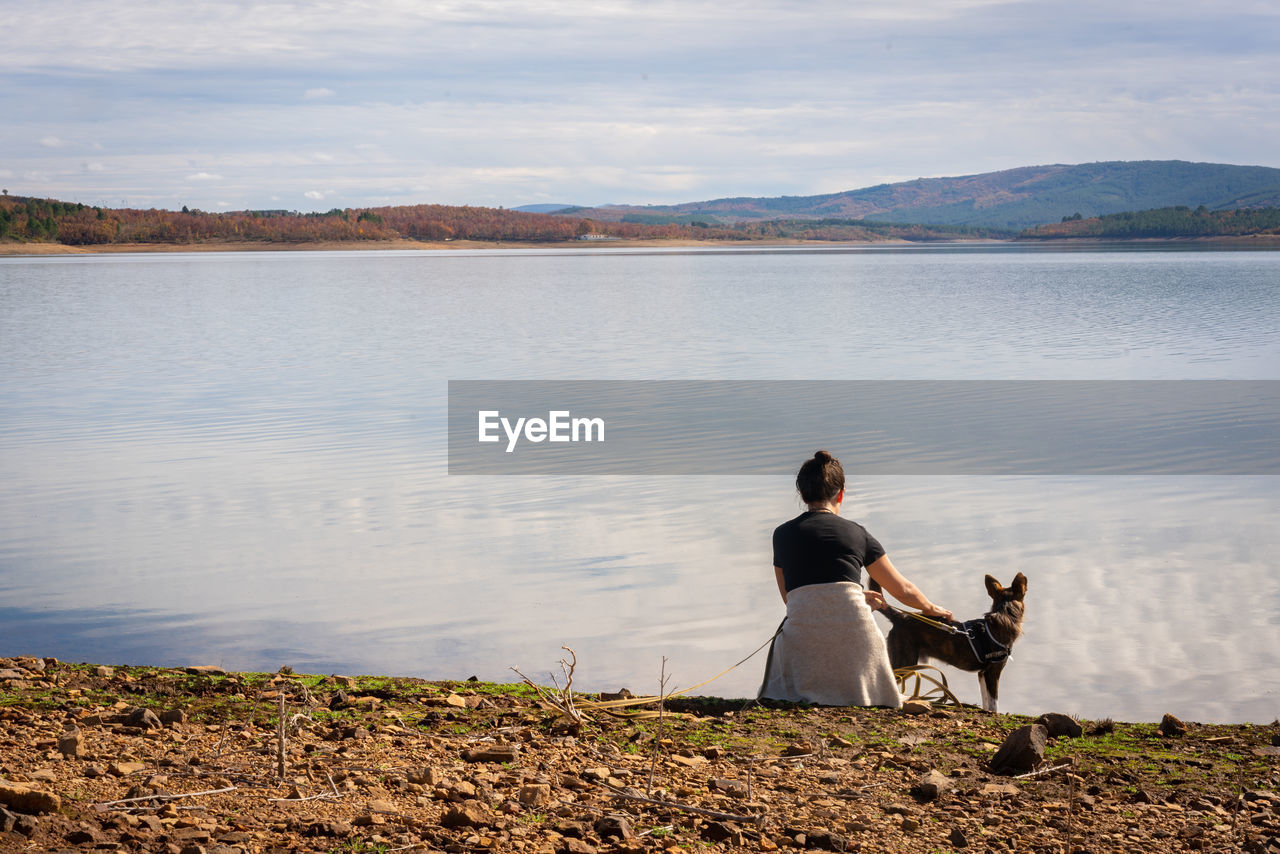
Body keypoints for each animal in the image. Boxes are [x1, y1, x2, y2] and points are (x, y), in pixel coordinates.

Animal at [875, 573, 1024, 717]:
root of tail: (899, 617)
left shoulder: (982, 673)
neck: (1003, 617)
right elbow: (994, 702)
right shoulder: (993, 671)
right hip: (905, 661)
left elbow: (986, 700)